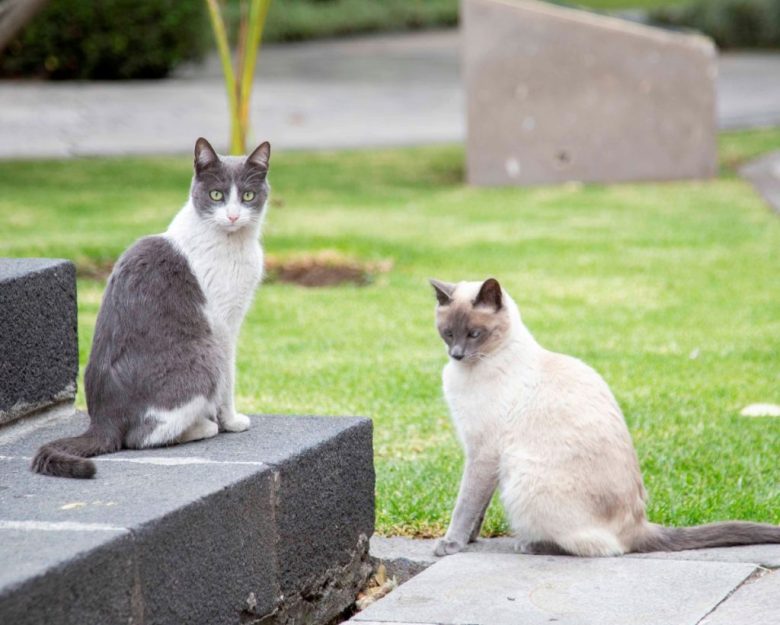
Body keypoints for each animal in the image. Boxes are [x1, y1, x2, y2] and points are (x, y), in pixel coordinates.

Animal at [32, 138, 272, 478]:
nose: (233, 217)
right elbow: (229, 379)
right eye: (216, 195)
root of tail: (102, 420)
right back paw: (202, 427)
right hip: (204, 353)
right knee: (139, 437)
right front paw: (231, 421)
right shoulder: (224, 325)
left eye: (248, 195)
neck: (233, 242)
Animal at [430, 278, 780, 556]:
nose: (456, 355)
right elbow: (478, 508)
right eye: (447, 333)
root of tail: (639, 525)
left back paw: (528, 544)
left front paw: (450, 544)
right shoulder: (481, 455)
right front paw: (470, 540)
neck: (473, 368)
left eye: (475, 333)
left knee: (599, 548)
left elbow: (466, 504)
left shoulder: (483, 452)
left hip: (522, 478)